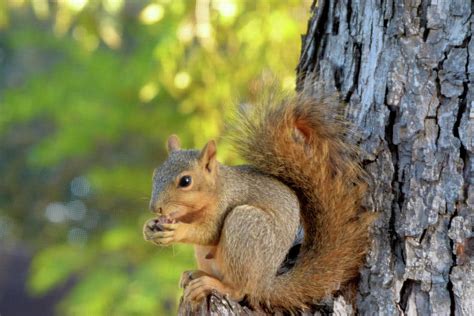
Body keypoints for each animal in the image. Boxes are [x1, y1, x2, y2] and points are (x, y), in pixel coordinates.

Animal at [143, 90, 376, 312]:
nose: (155, 208)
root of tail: (264, 284)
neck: (217, 188)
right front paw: (149, 228)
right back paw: (195, 274)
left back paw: (211, 284)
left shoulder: (226, 202)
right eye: (154, 174)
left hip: (245, 226)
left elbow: (209, 232)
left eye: (186, 181)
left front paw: (178, 230)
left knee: (239, 290)